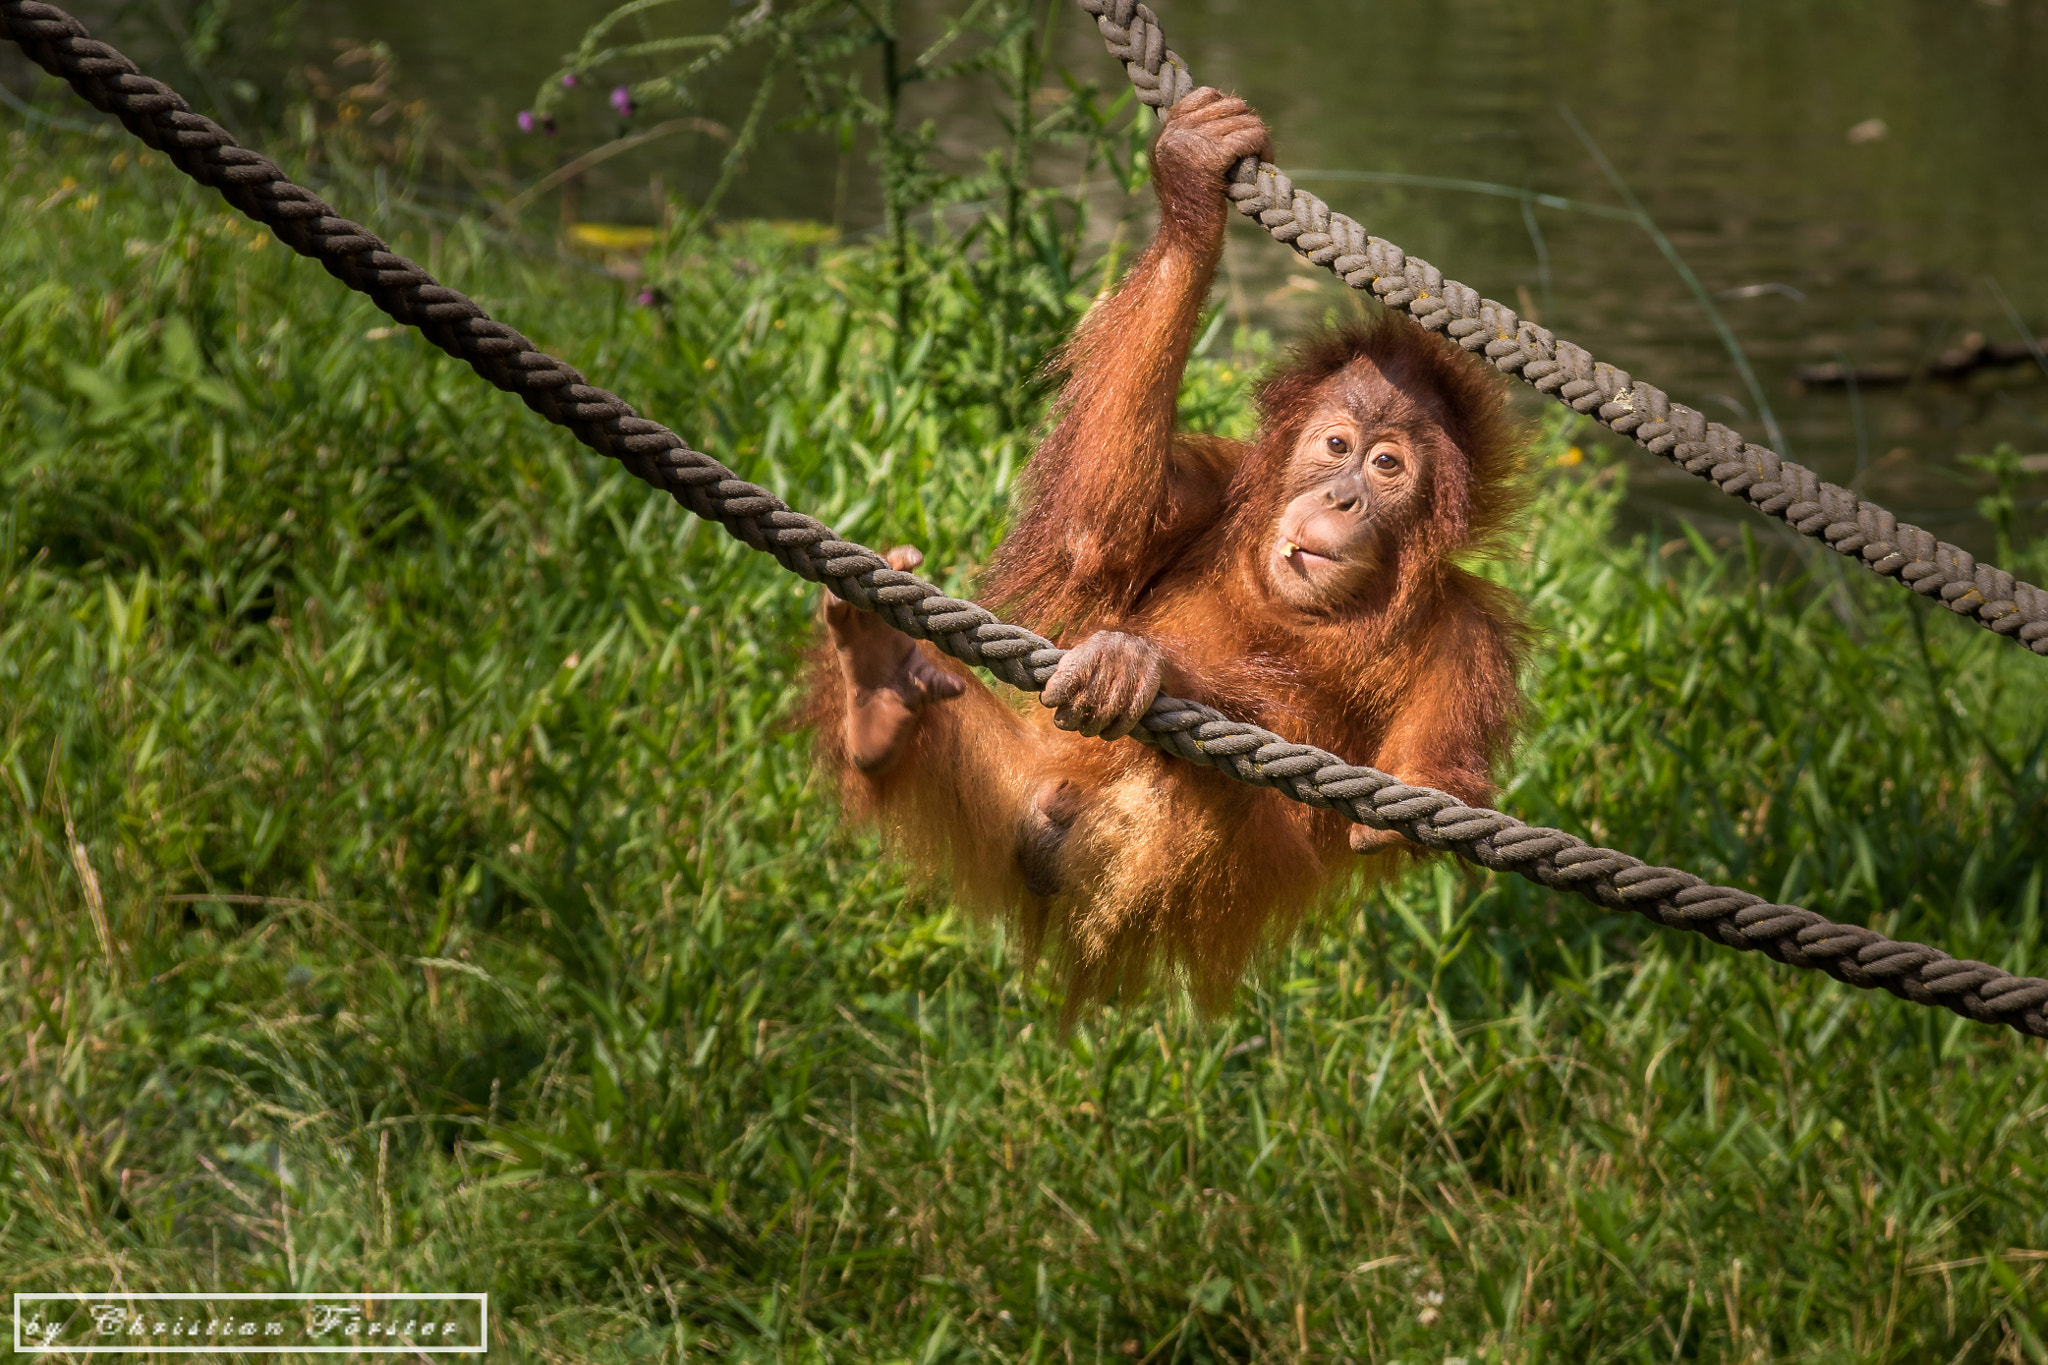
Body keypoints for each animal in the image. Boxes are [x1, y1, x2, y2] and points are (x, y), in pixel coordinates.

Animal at [809, 87, 1529, 1014]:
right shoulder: (1215, 482)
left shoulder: (1470, 637)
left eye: (1387, 466)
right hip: (1023, 782)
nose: (1341, 496)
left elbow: (1408, 801)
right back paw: (879, 679)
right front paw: (1193, 183)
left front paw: (1147, 666)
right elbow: (1091, 538)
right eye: (1335, 446)